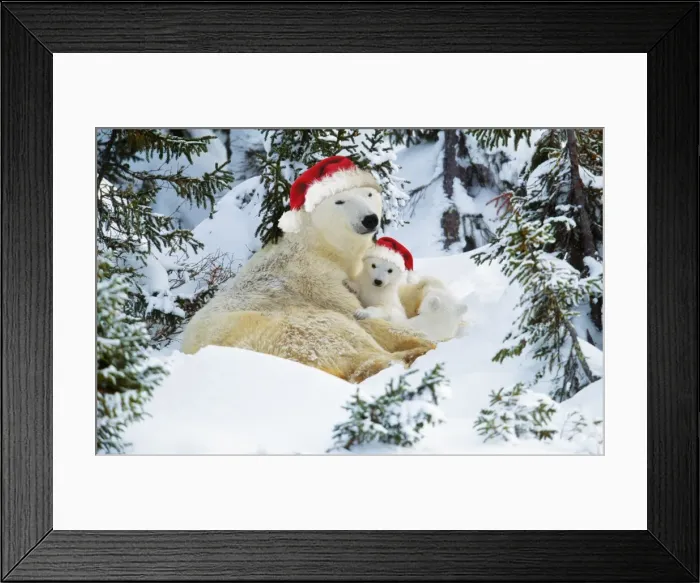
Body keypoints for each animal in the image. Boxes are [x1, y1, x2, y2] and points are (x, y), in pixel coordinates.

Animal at [181, 156, 436, 383]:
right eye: (340, 201)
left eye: (369, 194)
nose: (369, 219)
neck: (321, 247)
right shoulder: (317, 280)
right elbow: (359, 315)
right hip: (283, 329)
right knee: (339, 336)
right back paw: (412, 353)